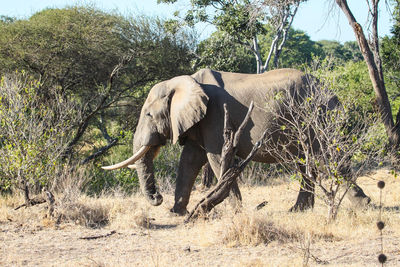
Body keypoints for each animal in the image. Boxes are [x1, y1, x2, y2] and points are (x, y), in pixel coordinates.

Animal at [102, 68, 368, 216]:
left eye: (149, 115)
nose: (158, 198)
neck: (185, 81)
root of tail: (331, 91)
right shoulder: (201, 121)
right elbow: (189, 161)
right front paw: (176, 213)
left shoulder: (217, 115)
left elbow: (216, 158)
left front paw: (237, 213)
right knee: (307, 163)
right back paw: (298, 211)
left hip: (319, 115)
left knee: (329, 156)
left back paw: (363, 205)